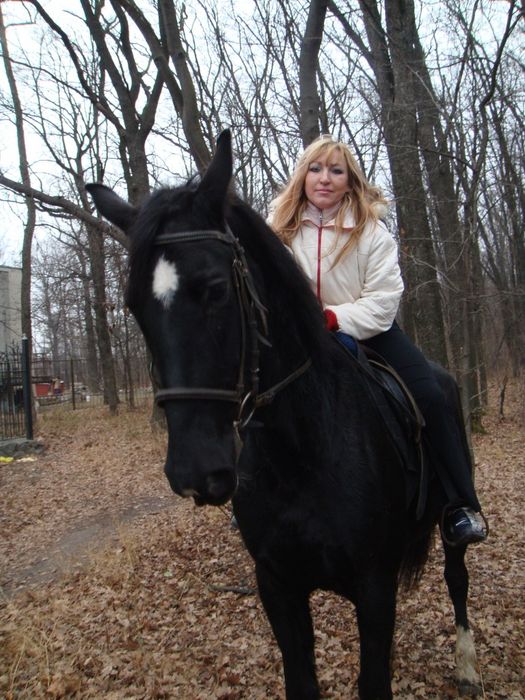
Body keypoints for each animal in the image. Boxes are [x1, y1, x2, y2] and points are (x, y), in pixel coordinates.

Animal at [86, 130, 481, 699]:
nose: (194, 471)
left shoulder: (374, 588)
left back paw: (467, 663)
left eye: (215, 288)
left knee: (457, 578)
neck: (302, 451)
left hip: (453, 516)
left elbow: (374, 679)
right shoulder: (278, 586)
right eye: (134, 305)